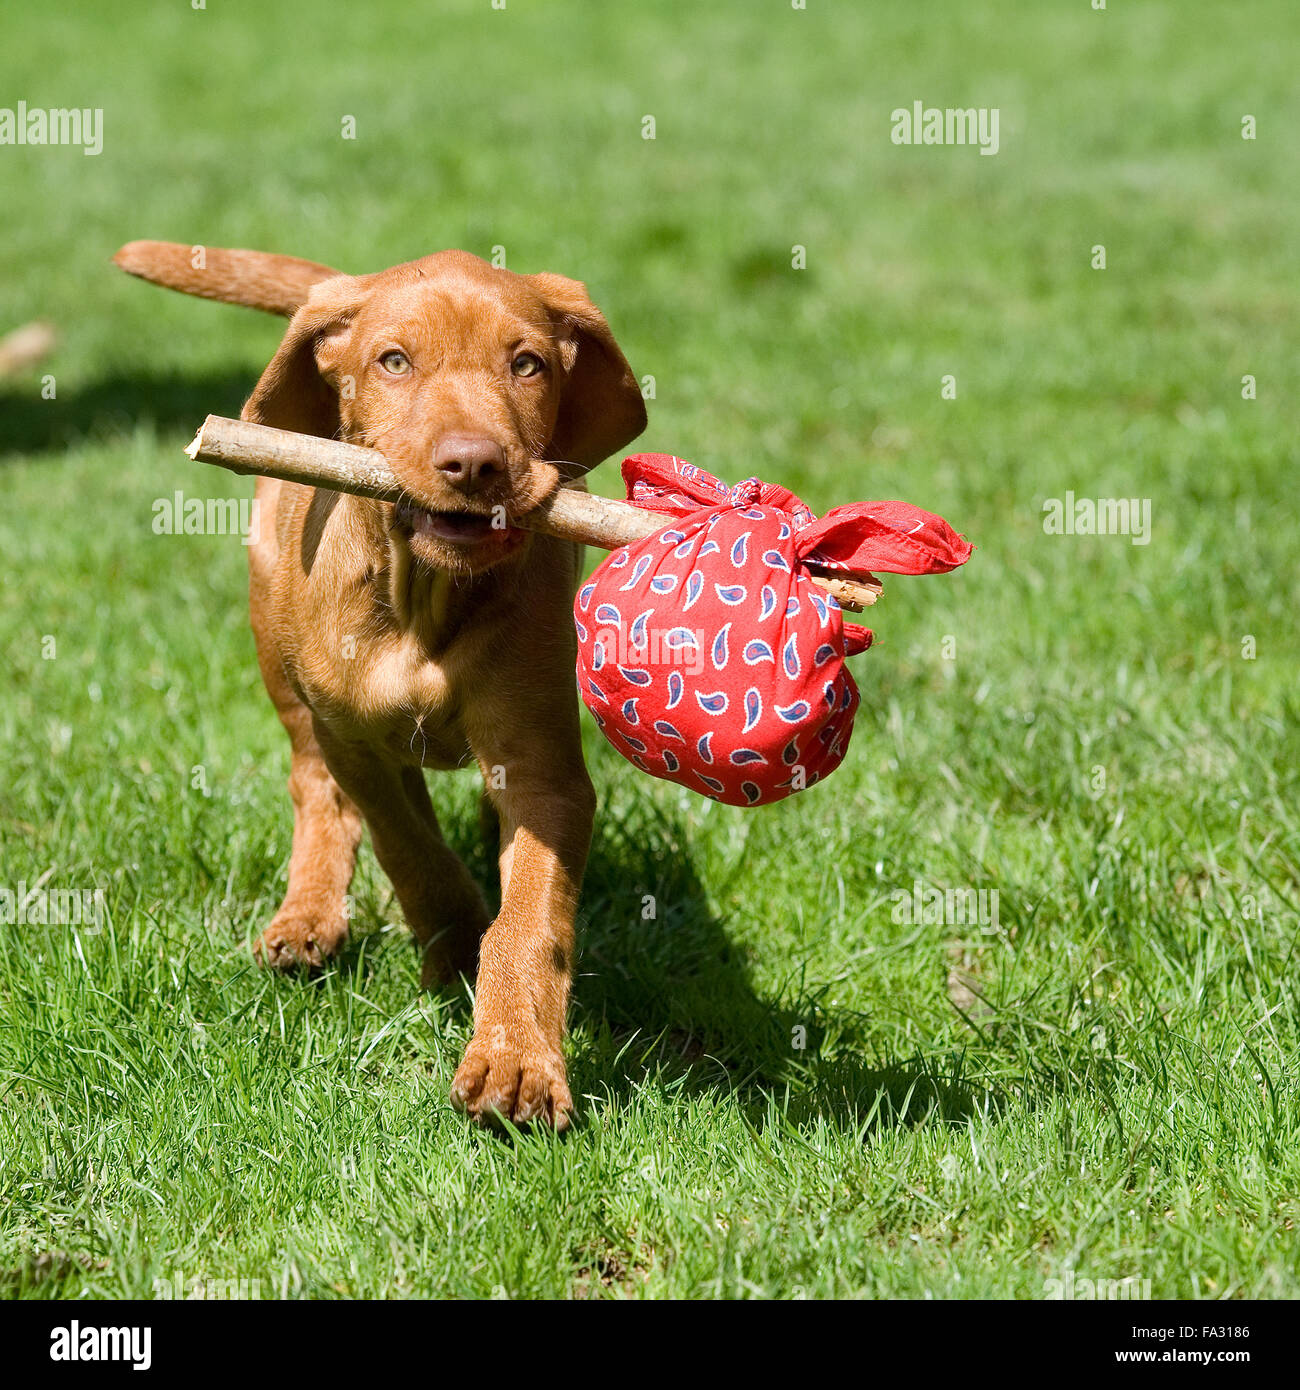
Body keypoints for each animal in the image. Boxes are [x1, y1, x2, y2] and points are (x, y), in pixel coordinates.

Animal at [118, 239, 650, 1128]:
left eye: (528, 364)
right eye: (394, 361)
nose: (475, 464)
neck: (422, 596)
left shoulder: (542, 770)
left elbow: (531, 914)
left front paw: (514, 1057)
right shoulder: (353, 742)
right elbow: (409, 848)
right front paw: (456, 940)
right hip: (279, 658)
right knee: (314, 787)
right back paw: (308, 915)